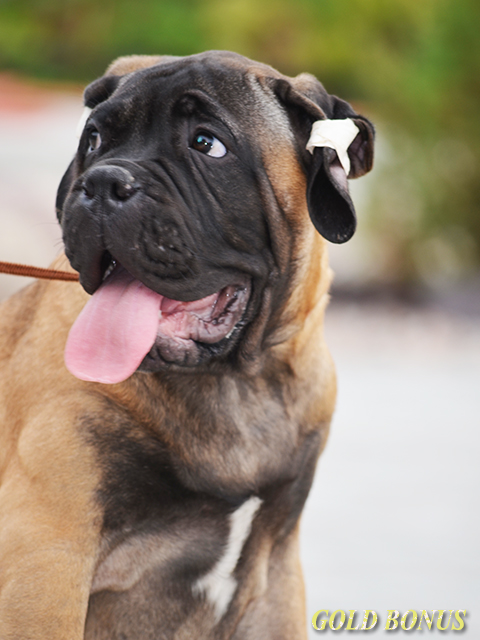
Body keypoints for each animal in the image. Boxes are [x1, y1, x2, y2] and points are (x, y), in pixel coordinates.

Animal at [0, 51, 376, 640]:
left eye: (207, 144)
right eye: (94, 139)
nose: (102, 182)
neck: (237, 383)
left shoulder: (275, 575)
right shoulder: (45, 564)